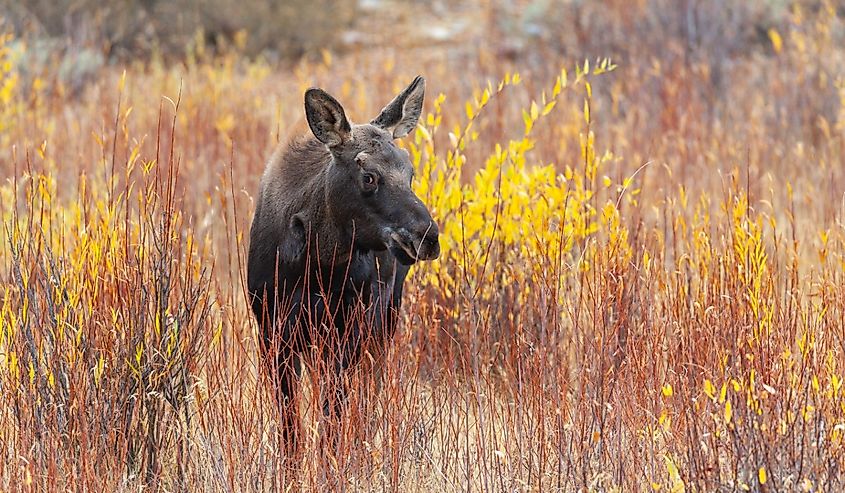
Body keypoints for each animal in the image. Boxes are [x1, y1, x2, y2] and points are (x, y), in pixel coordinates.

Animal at [247, 76, 440, 454]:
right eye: (369, 176)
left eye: (410, 171)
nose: (427, 237)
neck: (316, 265)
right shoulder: (272, 332)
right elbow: (291, 421)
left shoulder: (347, 330)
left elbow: (333, 414)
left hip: (385, 316)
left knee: (370, 389)